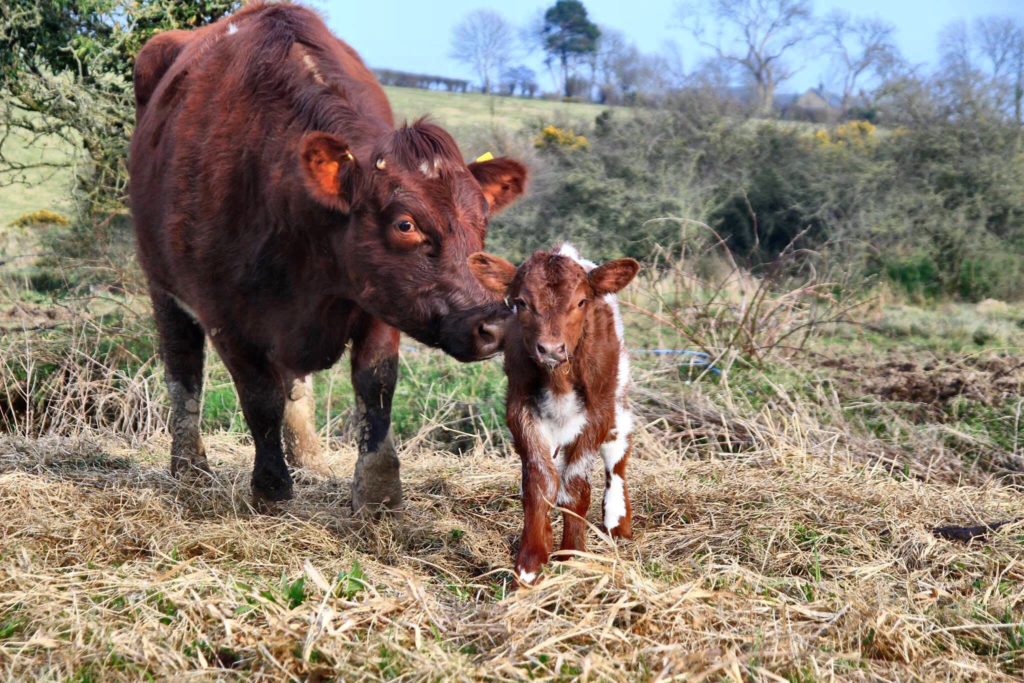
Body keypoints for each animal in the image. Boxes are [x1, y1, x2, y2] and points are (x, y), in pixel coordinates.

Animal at [129, 2, 528, 509]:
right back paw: (190, 470)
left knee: (294, 386)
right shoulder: (226, 314)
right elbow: (259, 397)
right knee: (184, 373)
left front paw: (378, 493)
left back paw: (310, 459)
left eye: (483, 220)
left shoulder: (378, 300)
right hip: (161, 284)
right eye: (405, 224)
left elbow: (375, 387)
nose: (493, 325)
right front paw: (271, 487)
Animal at [468, 242, 638, 585]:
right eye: (520, 303)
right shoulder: (520, 410)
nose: (550, 349)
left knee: (617, 449)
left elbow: (574, 487)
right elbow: (539, 481)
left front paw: (571, 555)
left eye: (581, 302)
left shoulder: (597, 412)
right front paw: (531, 560)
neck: (558, 378)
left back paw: (617, 519)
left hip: (619, 392)